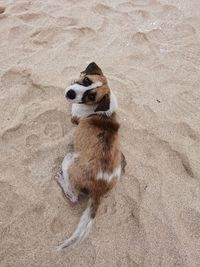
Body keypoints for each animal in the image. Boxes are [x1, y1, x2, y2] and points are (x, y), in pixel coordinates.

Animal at [54, 62, 126, 251]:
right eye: (86, 80)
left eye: (91, 97)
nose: (70, 94)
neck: (101, 110)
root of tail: (99, 189)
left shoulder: (74, 115)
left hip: (70, 159)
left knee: (73, 197)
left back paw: (62, 181)